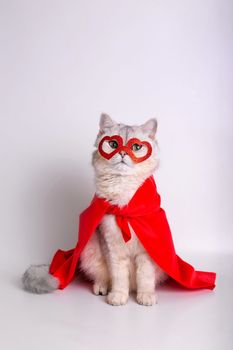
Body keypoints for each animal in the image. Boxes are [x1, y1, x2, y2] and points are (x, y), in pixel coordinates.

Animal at [21, 115, 167, 306]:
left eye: (136, 147)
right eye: (113, 144)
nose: (123, 153)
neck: (124, 209)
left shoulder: (147, 251)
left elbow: (145, 277)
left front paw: (146, 296)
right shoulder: (112, 249)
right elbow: (119, 278)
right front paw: (118, 296)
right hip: (90, 251)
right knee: (102, 277)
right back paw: (102, 288)